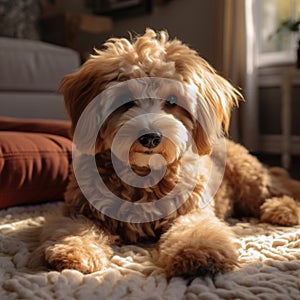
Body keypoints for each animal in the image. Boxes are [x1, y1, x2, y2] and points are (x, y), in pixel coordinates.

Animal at [32, 29, 300, 276]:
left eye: (172, 100)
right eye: (125, 99)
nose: (150, 137)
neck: (143, 174)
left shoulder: (192, 210)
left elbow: (195, 229)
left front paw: (200, 252)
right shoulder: (77, 210)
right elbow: (72, 228)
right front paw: (75, 250)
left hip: (249, 178)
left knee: (276, 191)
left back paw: (283, 210)